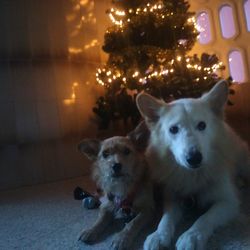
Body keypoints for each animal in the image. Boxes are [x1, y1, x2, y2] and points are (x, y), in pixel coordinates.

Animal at [78, 122, 153, 250]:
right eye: (105, 154)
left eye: (127, 151)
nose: (116, 166)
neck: (121, 184)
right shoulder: (107, 204)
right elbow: (100, 219)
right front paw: (91, 230)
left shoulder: (148, 209)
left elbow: (132, 223)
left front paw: (121, 238)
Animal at [137, 80, 250, 250]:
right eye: (173, 129)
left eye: (202, 125)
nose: (194, 158)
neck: (193, 175)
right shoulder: (172, 199)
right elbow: (166, 218)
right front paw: (158, 235)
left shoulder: (228, 202)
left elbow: (205, 218)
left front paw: (191, 235)